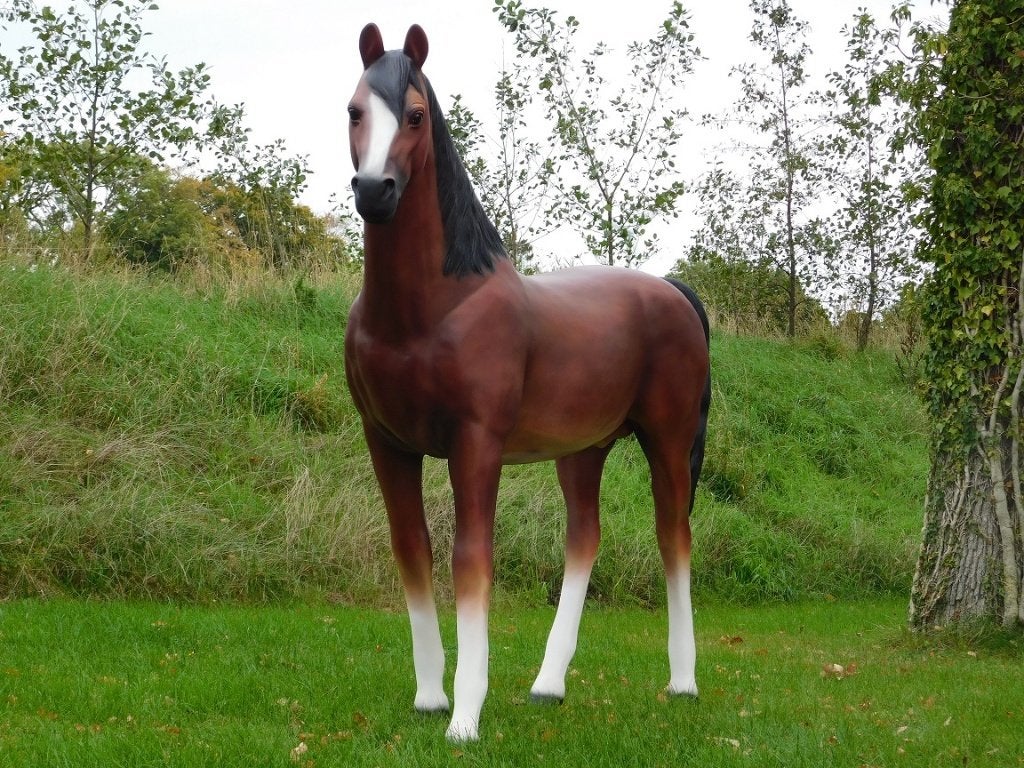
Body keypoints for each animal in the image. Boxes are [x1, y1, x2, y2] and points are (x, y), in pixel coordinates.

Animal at [344, 23, 711, 742]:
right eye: (354, 110)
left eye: (415, 115)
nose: (376, 191)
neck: (431, 312)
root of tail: (672, 291)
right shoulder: (387, 443)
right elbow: (412, 551)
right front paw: (430, 696)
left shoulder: (476, 444)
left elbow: (470, 560)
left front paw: (465, 715)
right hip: (584, 451)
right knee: (584, 540)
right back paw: (548, 684)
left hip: (667, 441)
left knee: (673, 538)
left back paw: (683, 682)